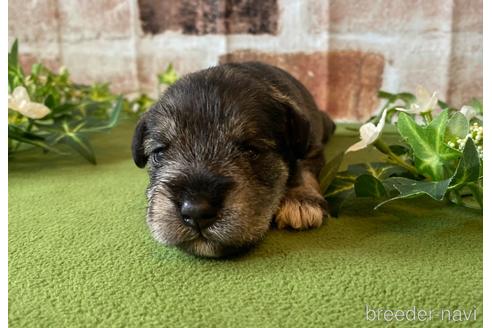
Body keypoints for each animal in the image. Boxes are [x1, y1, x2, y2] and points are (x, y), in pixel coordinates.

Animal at [133, 60, 336, 256]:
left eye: (252, 150)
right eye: (159, 152)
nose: (196, 211)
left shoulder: (311, 148)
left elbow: (303, 168)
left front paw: (301, 200)